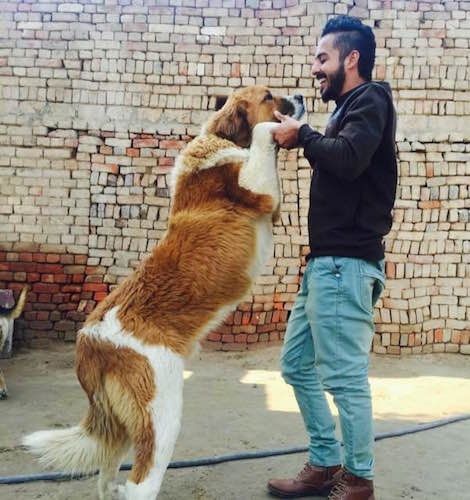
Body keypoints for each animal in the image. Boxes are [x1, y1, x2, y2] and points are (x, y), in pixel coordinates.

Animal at [23, 87, 306, 500]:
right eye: (269, 96)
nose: (301, 95)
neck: (219, 141)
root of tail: (90, 340)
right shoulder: (261, 189)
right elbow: (262, 134)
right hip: (161, 415)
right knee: (138, 484)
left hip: (123, 426)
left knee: (107, 480)